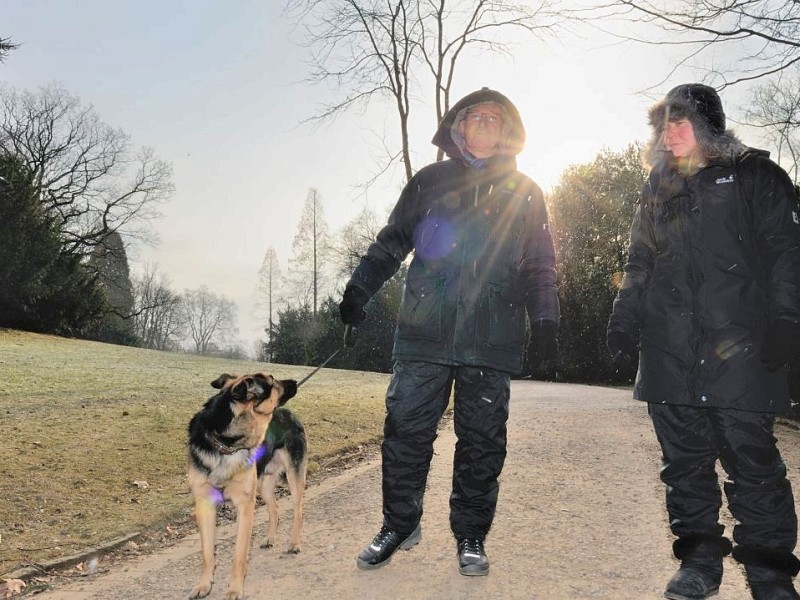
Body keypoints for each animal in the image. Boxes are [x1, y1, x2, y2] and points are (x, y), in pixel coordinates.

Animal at [188, 372, 310, 600]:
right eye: (273, 383)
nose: (294, 382)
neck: (224, 443)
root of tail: (289, 413)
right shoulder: (204, 505)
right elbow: (207, 553)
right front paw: (204, 585)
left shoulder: (245, 507)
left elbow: (239, 555)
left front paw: (235, 589)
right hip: (262, 485)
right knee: (275, 508)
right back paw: (270, 538)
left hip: (294, 475)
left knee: (298, 510)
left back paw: (294, 543)